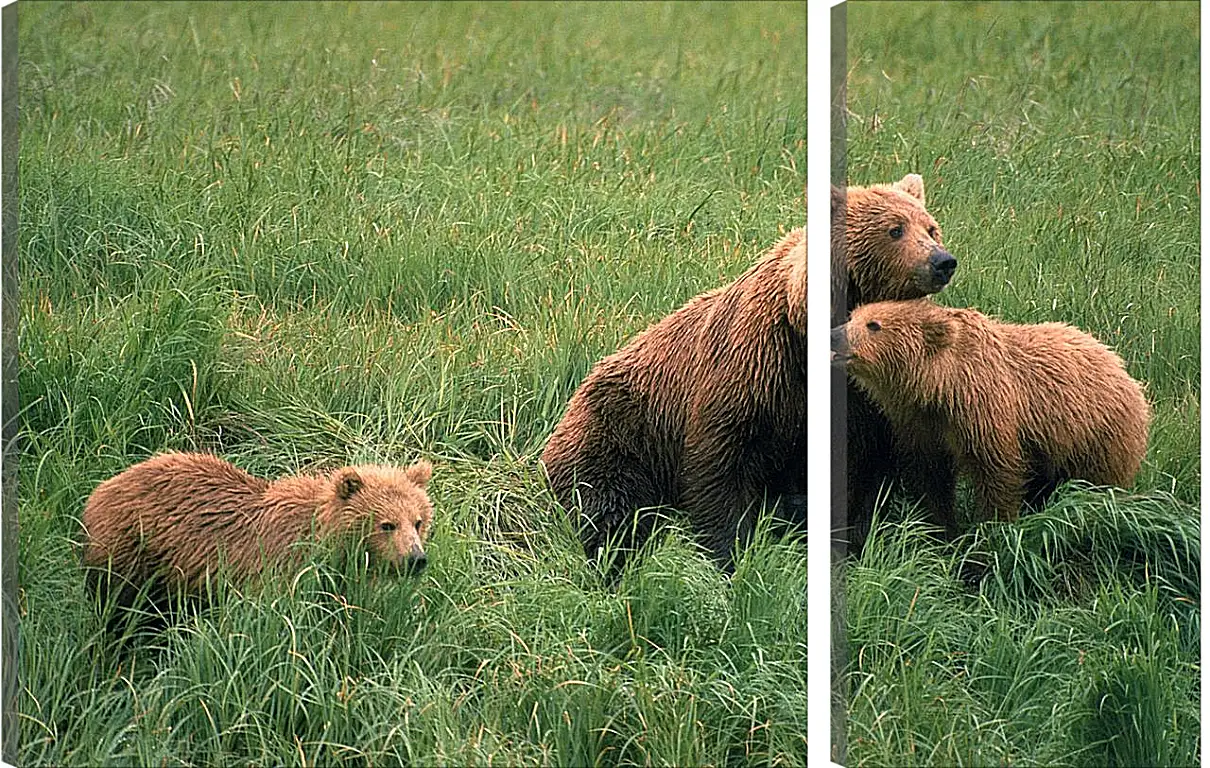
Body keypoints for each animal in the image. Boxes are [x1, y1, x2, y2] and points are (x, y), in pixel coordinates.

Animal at [80, 454, 433, 624]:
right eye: (386, 524)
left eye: (418, 521)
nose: (416, 559)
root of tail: (101, 488)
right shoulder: (277, 568)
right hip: (131, 549)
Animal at [832, 299, 1151, 534]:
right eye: (853, 315)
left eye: (874, 325)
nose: (834, 335)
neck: (942, 387)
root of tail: (1122, 368)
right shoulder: (920, 424)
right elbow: (930, 476)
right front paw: (941, 528)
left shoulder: (987, 412)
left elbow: (998, 475)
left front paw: (991, 530)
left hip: (1098, 438)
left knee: (1097, 484)